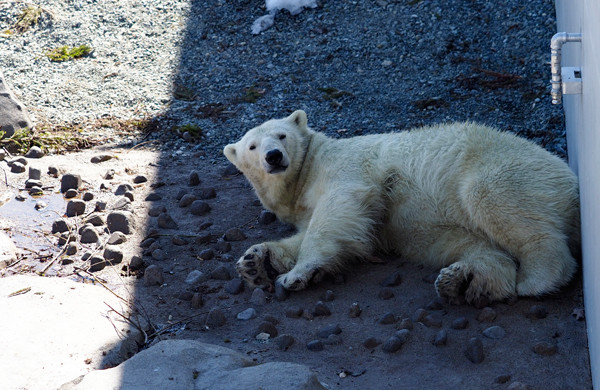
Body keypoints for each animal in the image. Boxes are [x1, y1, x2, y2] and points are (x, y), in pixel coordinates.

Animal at [223, 110, 580, 304]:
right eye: (252, 146)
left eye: (282, 135)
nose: (273, 156)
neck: (307, 169)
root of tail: (569, 177)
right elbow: (321, 231)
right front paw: (256, 262)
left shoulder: (346, 168)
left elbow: (336, 211)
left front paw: (296, 274)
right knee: (478, 245)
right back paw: (464, 281)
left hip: (504, 166)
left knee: (494, 200)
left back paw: (537, 279)